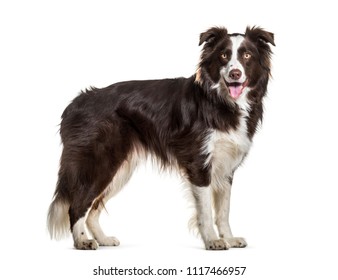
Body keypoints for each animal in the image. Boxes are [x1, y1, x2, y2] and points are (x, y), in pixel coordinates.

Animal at [47, 25, 274, 249]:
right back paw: (82, 241)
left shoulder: (226, 167)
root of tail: (76, 102)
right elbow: (206, 211)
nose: (235, 74)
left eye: (247, 55)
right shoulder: (199, 163)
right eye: (224, 55)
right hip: (100, 162)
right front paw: (212, 240)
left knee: (93, 208)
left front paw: (229, 238)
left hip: (120, 169)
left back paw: (103, 239)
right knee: (77, 204)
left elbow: (223, 211)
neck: (220, 101)